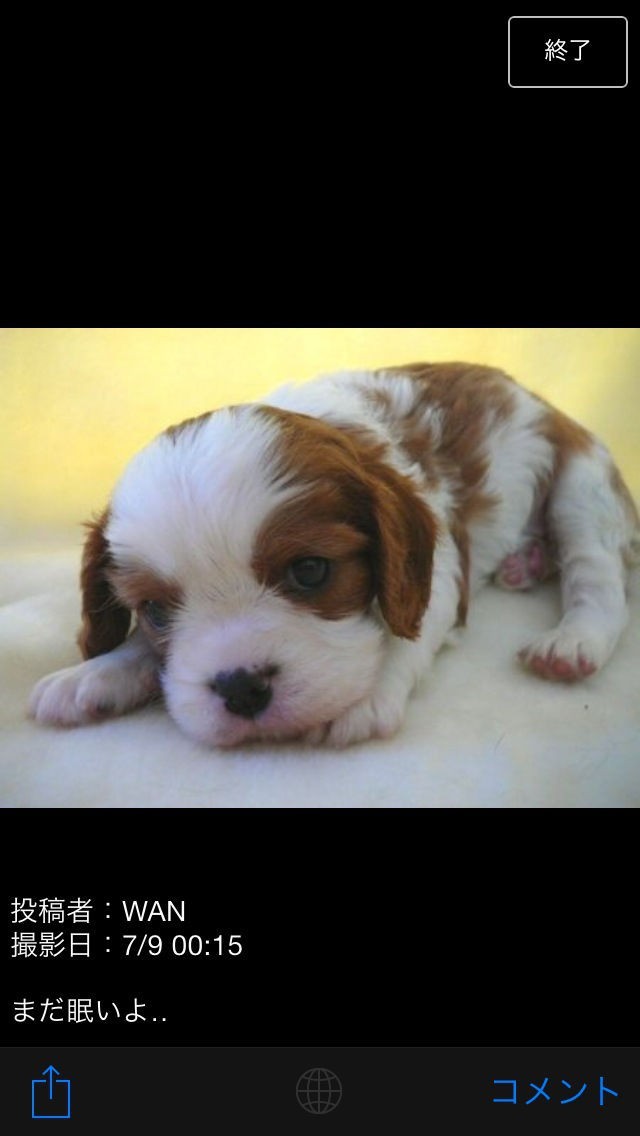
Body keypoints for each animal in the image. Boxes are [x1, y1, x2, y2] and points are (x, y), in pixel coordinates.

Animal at [29, 363, 639, 747]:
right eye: (155, 611)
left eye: (309, 572)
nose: (241, 688)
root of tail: (542, 401)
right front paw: (96, 672)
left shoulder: (441, 556)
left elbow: (409, 627)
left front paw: (357, 697)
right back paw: (523, 563)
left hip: (582, 482)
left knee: (597, 577)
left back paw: (572, 642)